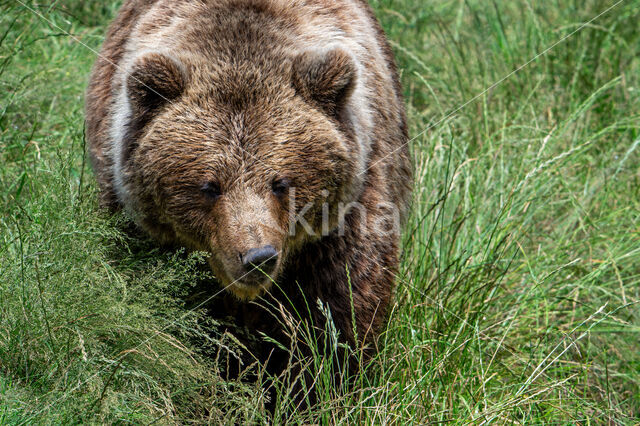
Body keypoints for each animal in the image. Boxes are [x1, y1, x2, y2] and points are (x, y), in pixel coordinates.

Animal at [85, 0, 412, 406]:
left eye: (281, 182)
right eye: (210, 186)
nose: (258, 257)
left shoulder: (349, 214)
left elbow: (340, 312)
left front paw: (317, 392)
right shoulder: (140, 228)